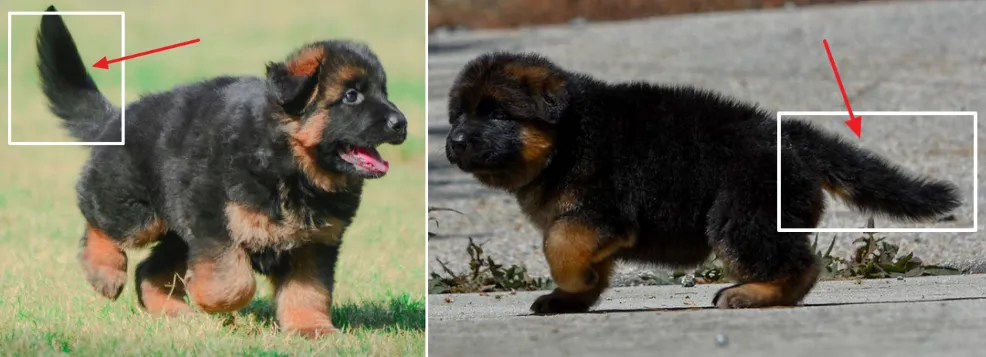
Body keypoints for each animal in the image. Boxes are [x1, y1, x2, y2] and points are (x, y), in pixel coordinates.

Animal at [34, 6, 404, 338]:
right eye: (351, 96)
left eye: (384, 92)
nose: (401, 123)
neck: (290, 164)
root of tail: (116, 118)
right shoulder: (214, 224)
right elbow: (234, 282)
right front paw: (210, 301)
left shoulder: (314, 244)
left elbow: (309, 291)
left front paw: (311, 329)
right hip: (138, 211)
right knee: (98, 220)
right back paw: (105, 273)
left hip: (177, 231)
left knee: (148, 271)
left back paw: (174, 313)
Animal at [442, 51, 956, 312]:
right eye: (458, 116)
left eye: (497, 114)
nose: (454, 142)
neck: (567, 136)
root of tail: (792, 137)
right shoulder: (594, 226)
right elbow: (585, 260)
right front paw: (573, 297)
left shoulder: (598, 212)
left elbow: (559, 246)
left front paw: (573, 282)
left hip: (742, 213)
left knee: (800, 264)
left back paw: (752, 294)